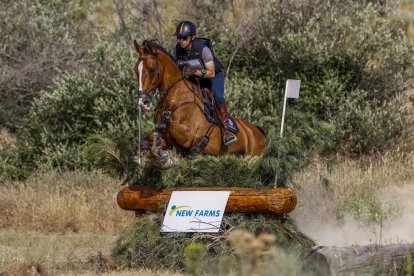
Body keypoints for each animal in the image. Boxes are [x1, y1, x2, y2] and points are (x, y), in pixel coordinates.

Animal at [134, 40, 266, 163]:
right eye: (136, 70)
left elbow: (163, 124)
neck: (175, 99)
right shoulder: (168, 140)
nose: (143, 102)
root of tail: (257, 131)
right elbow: (148, 141)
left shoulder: (188, 136)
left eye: (152, 70)